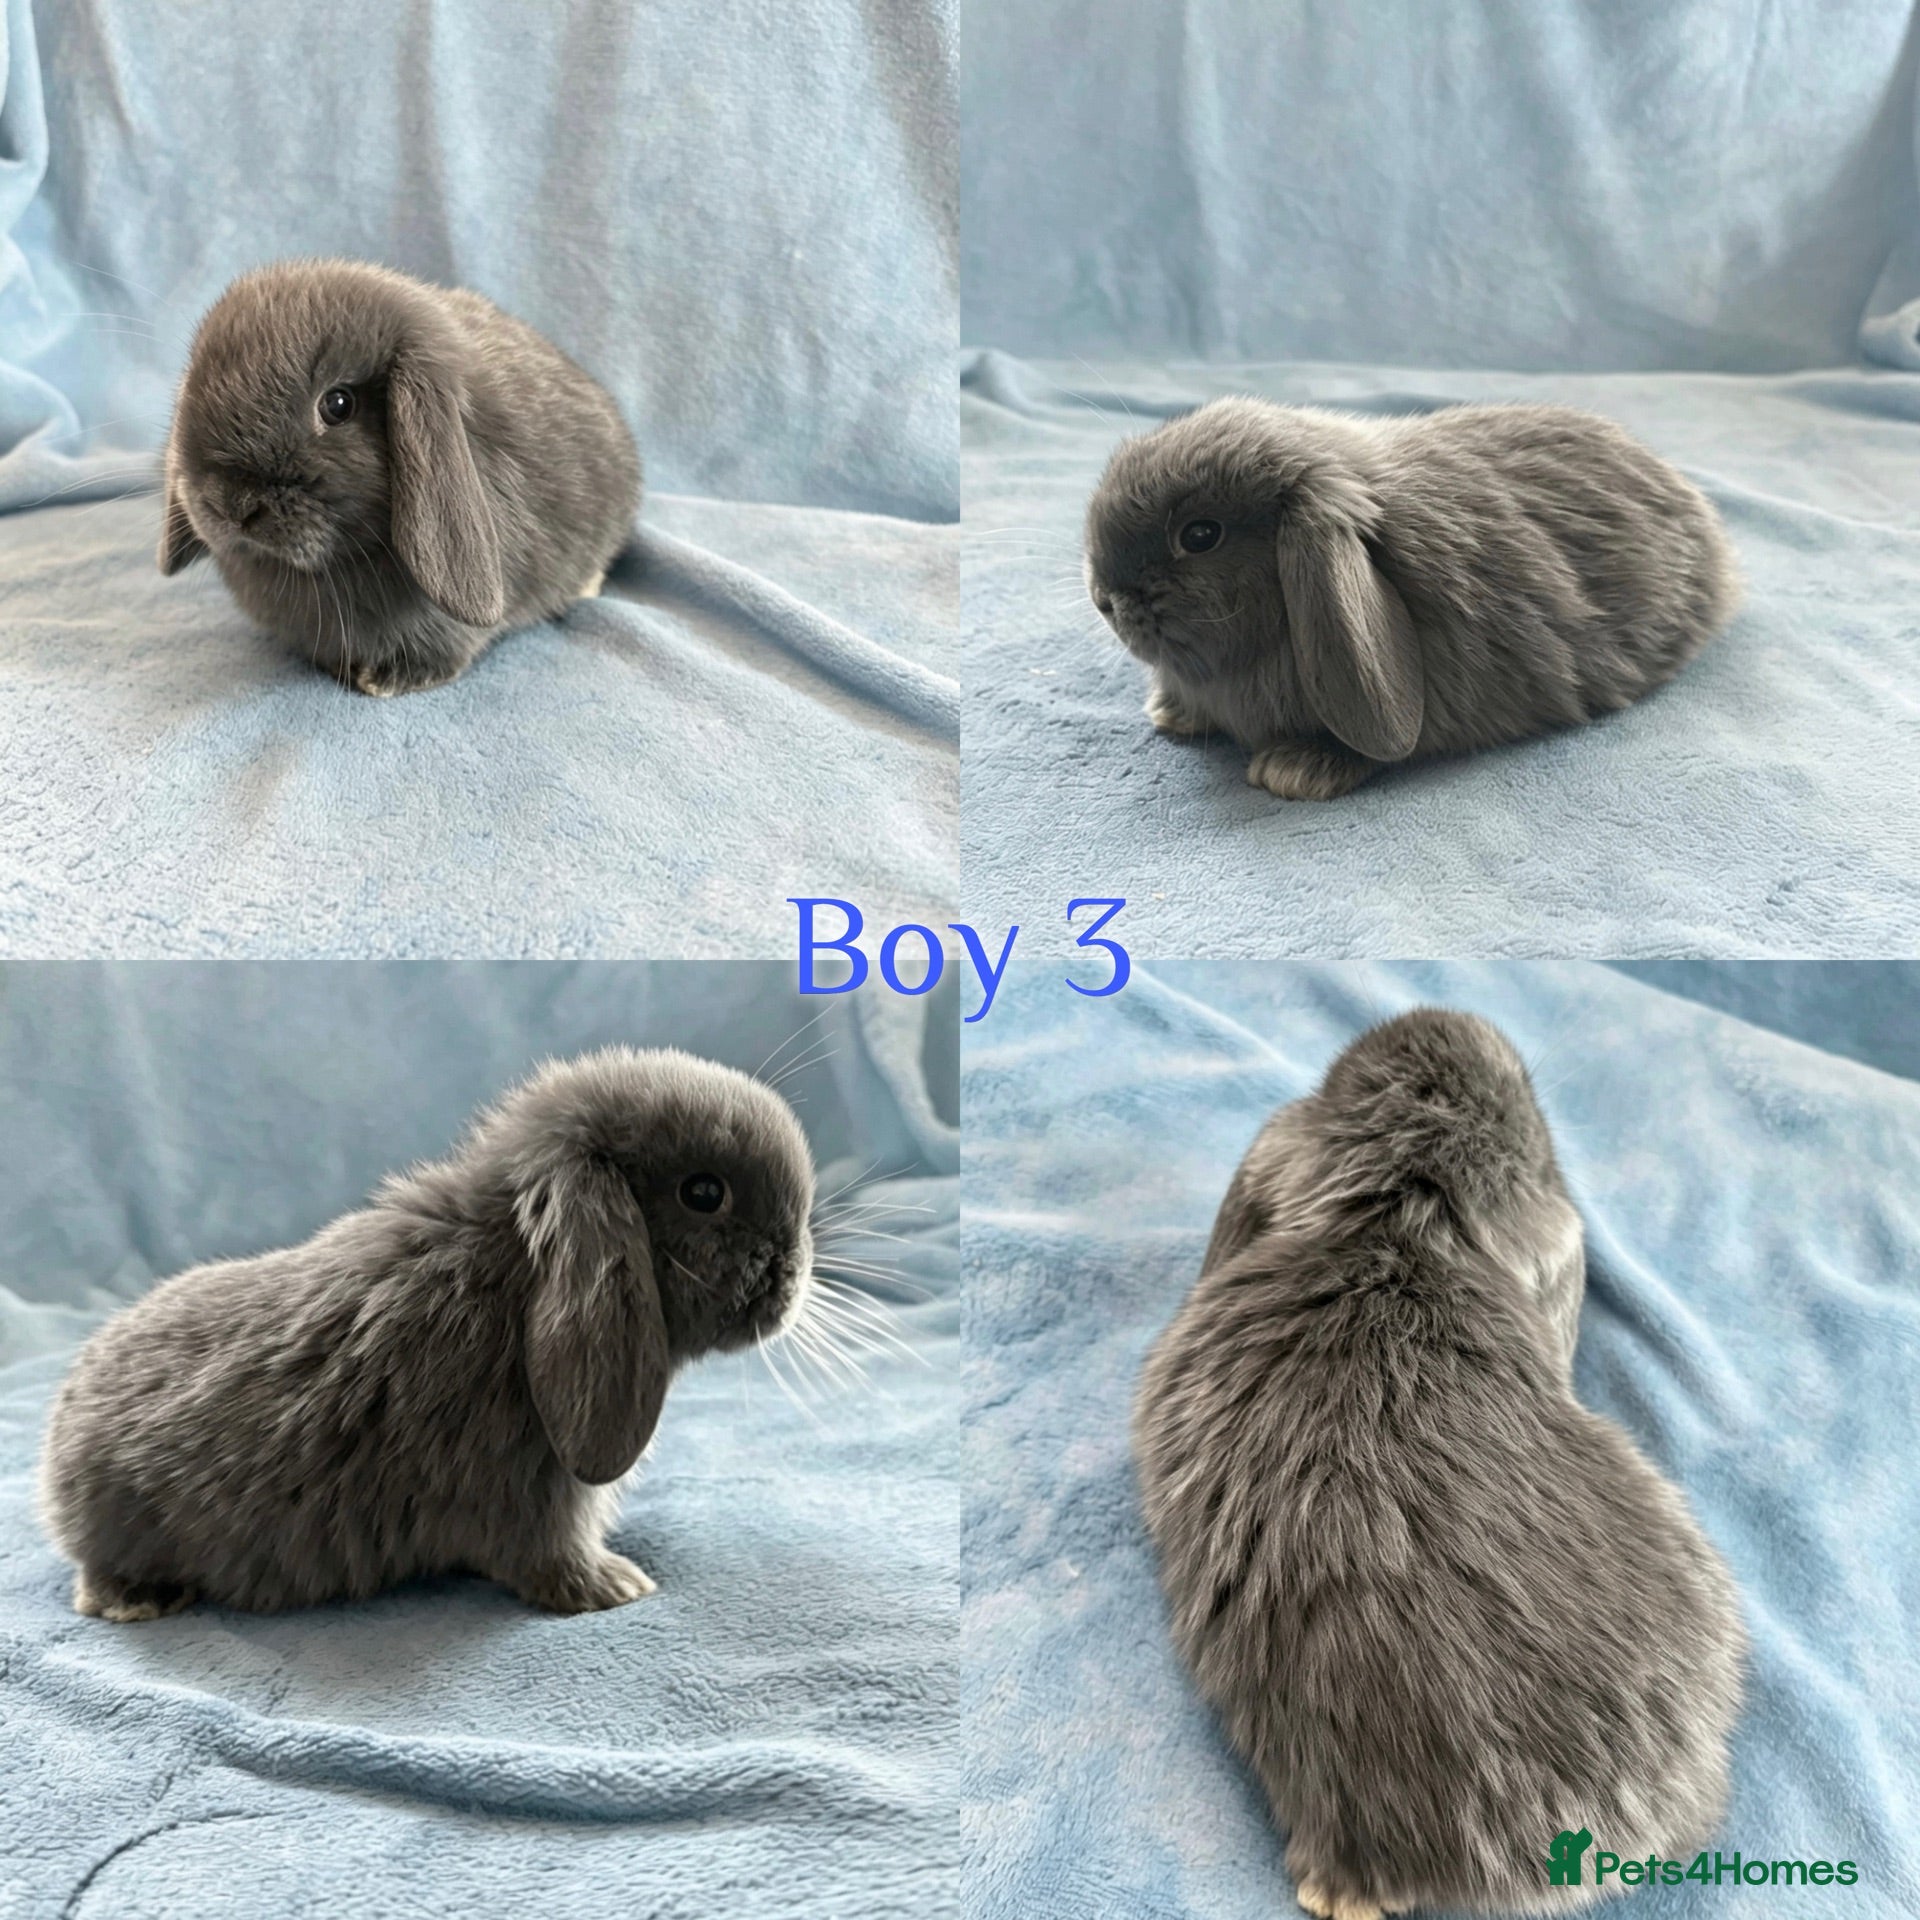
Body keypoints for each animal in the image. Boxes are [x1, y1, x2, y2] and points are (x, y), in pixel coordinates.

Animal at [39, 1046, 812, 1619]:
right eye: (704, 1193)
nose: (796, 1267)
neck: (511, 1279)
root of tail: (56, 1447)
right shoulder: (537, 1501)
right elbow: (552, 1561)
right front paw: (616, 1588)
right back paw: (139, 1602)